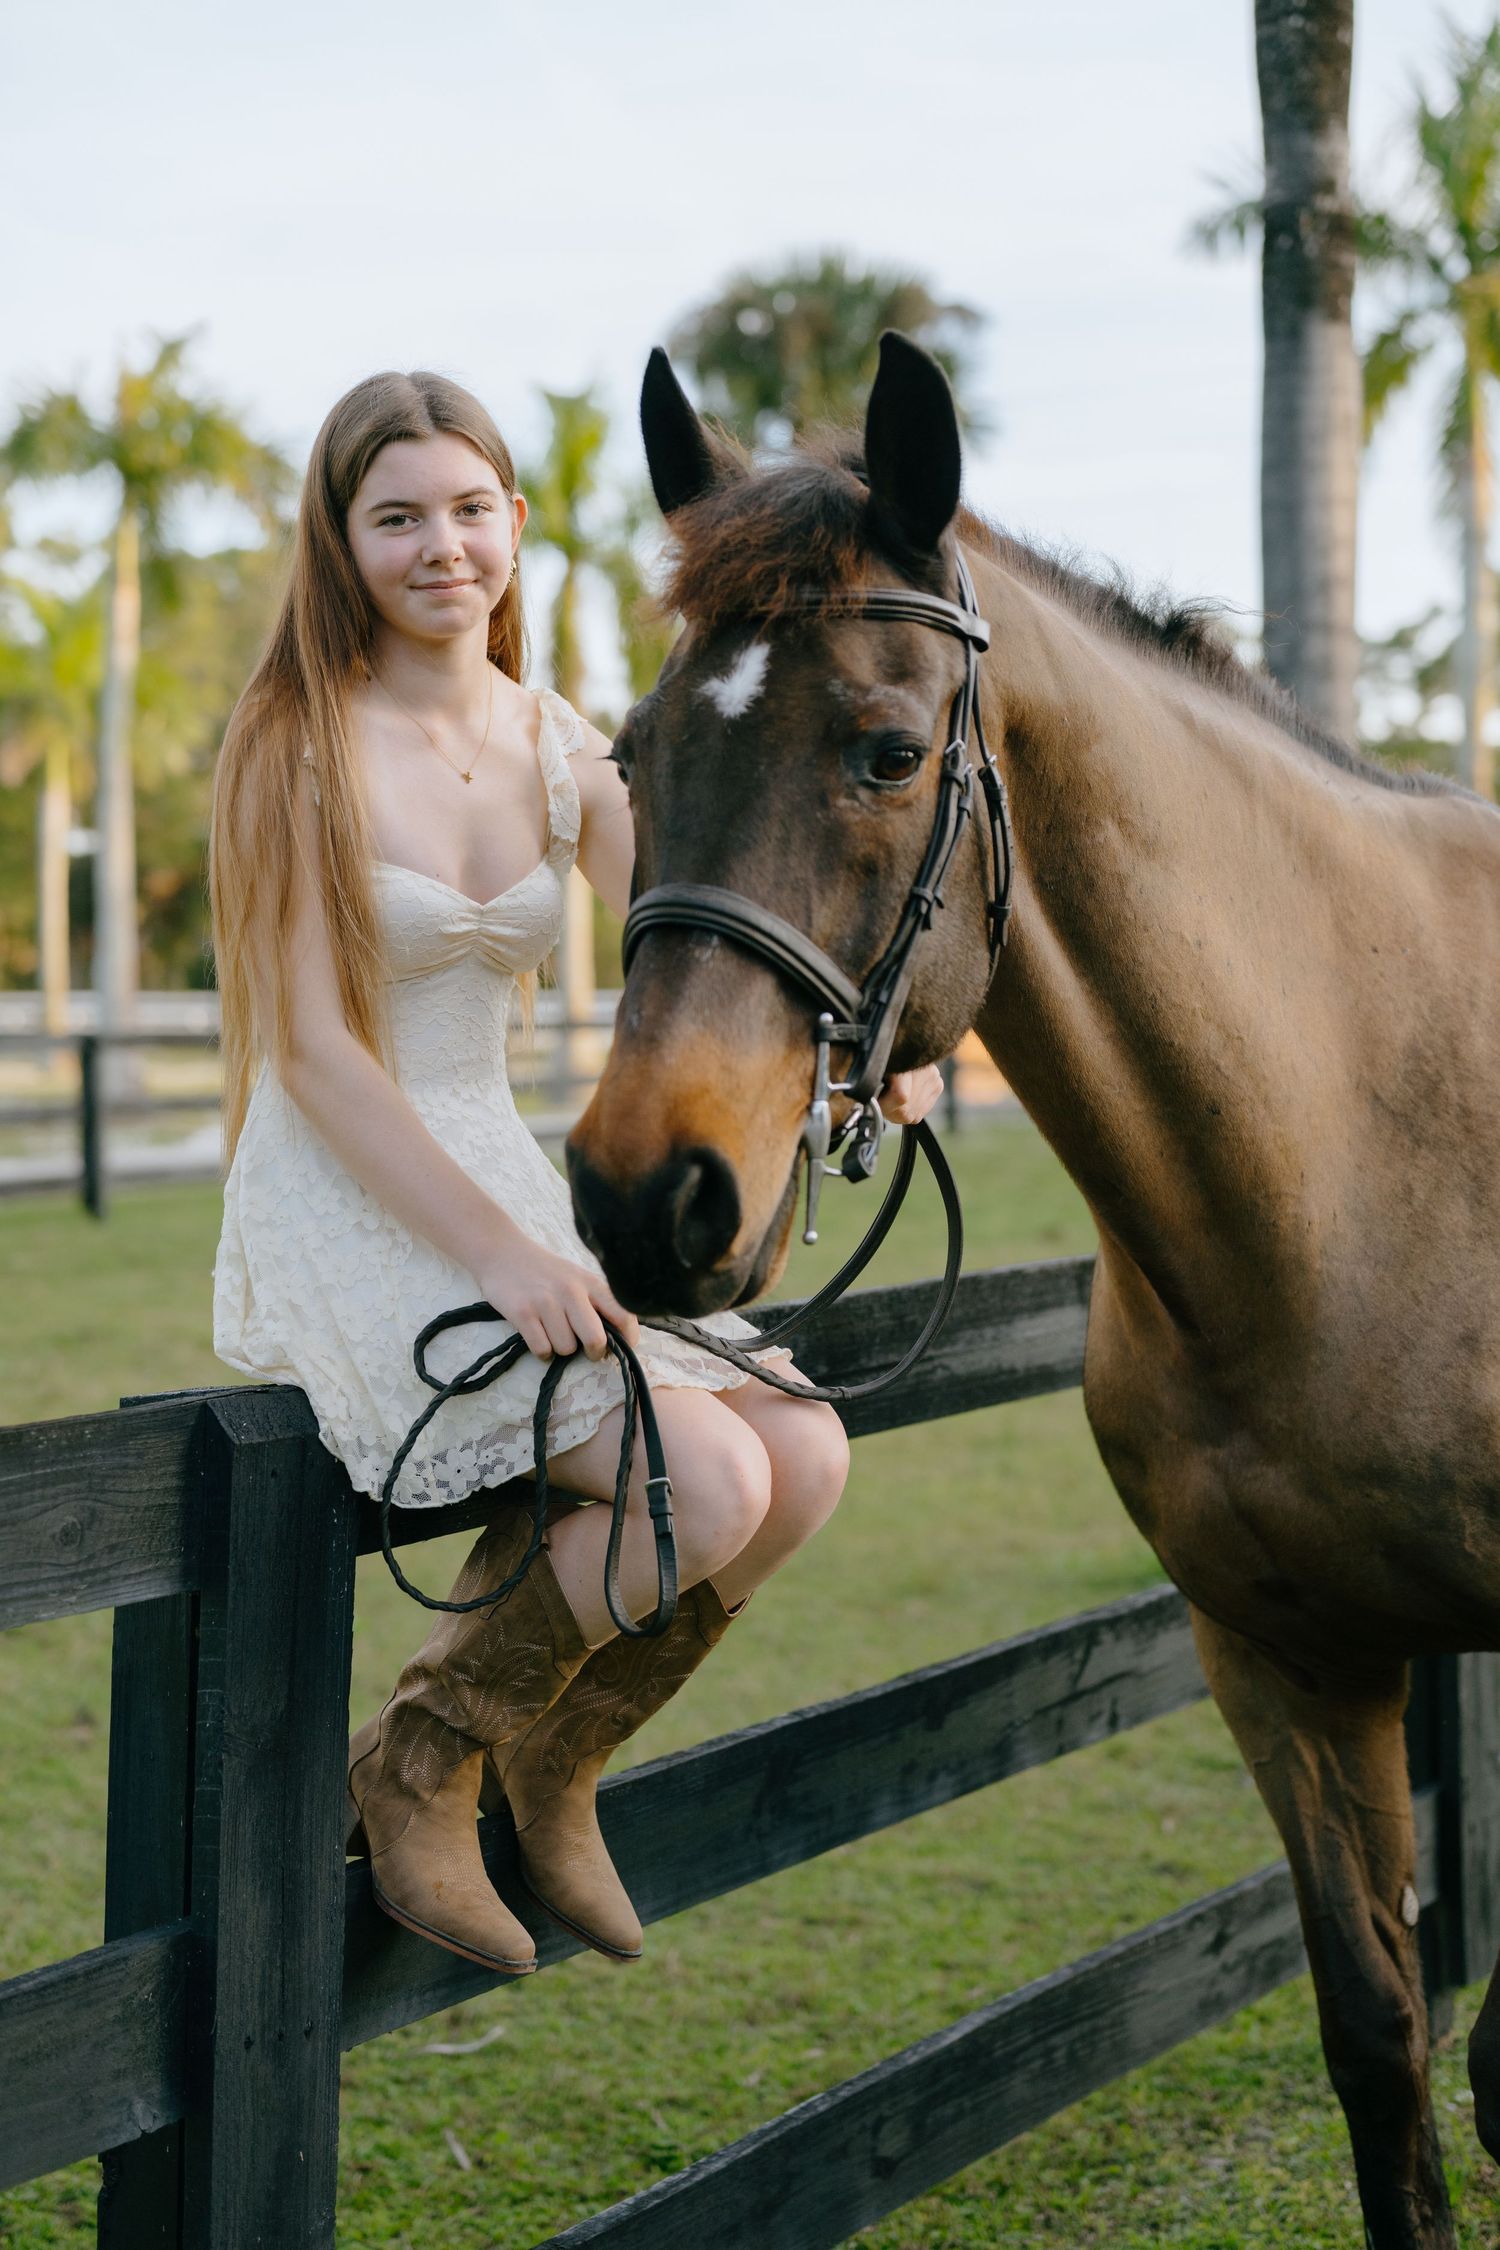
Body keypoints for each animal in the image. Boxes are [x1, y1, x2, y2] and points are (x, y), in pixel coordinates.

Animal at [565, 331, 1500, 2249]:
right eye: (631, 752)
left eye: (888, 748)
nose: (644, 1188)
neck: (1357, 1153)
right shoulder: (1287, 1663)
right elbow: (1383, 2044)